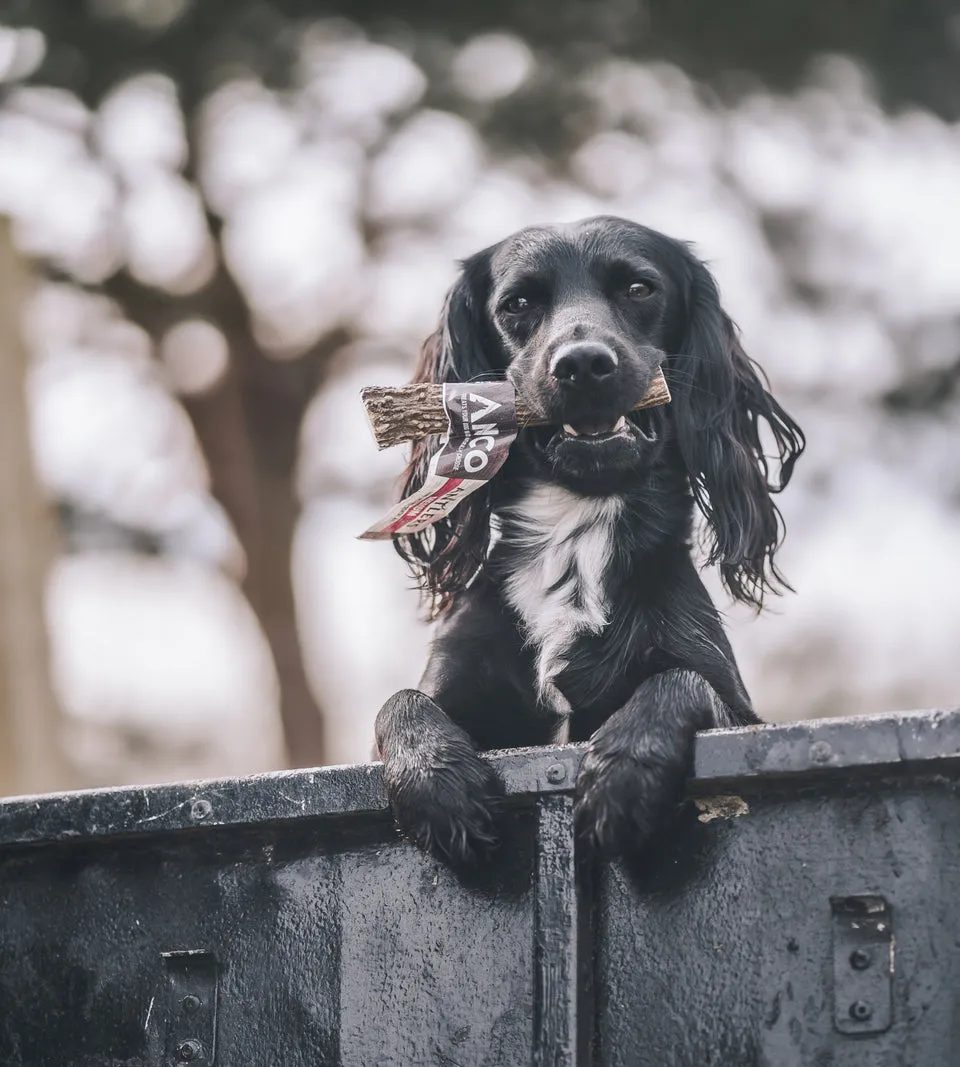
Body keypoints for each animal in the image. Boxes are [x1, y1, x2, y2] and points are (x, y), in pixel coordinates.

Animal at [375, 216, 802, 866]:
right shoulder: (449, 684)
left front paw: (622, 772)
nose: (581, 364)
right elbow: (399, 702)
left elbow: (681, 681)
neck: (574, 538)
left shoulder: (743, 714)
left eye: (638, 289)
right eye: (518, 304)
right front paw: (437, 780)